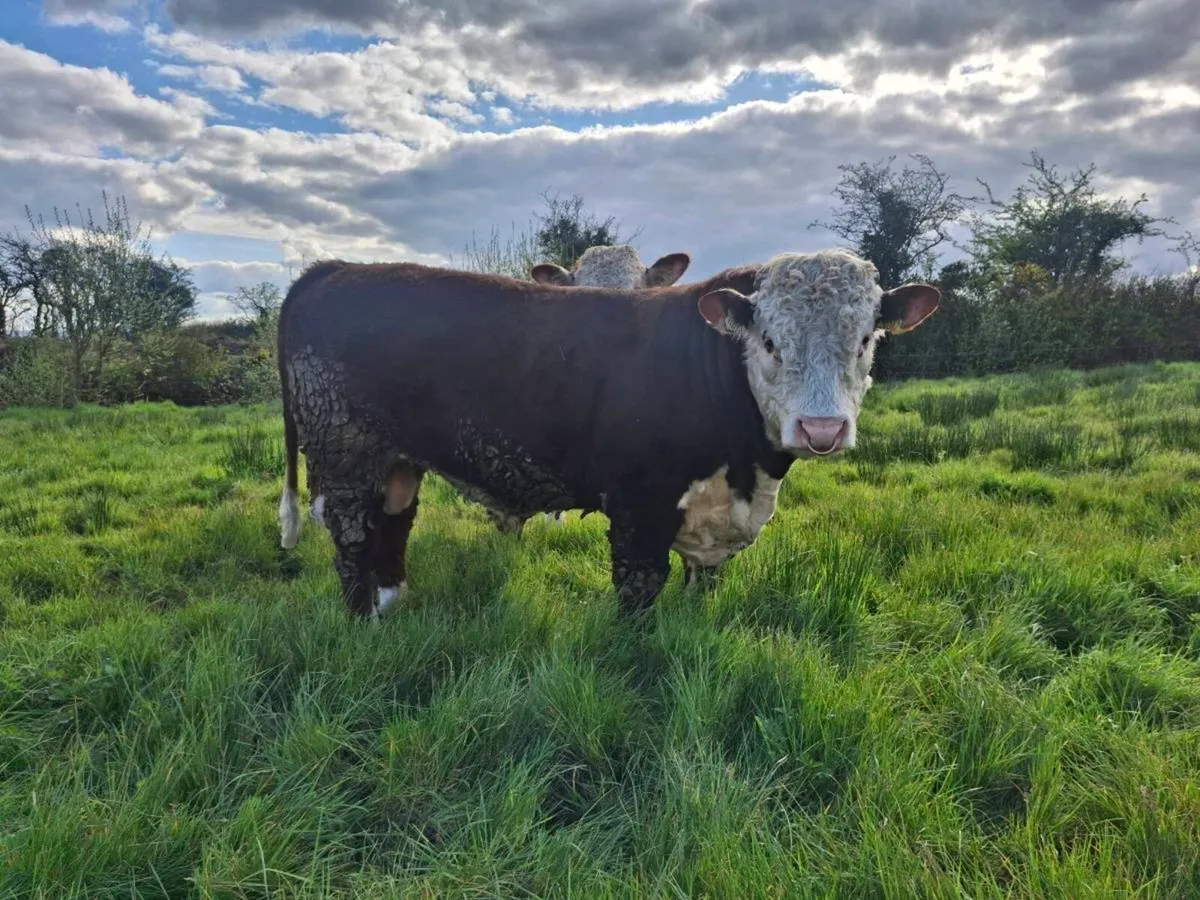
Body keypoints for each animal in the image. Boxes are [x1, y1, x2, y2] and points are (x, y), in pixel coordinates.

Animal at [277, 248, 940, 622]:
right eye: (771, 342)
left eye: (866, 339)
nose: (821, 428)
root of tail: (333, 271)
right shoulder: (639, 503)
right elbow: (640, 587)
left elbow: (702, 588)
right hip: (346, 452)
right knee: (354, 536)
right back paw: (363, 621)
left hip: (396, 459)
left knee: (394, 522)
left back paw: (394, 604)